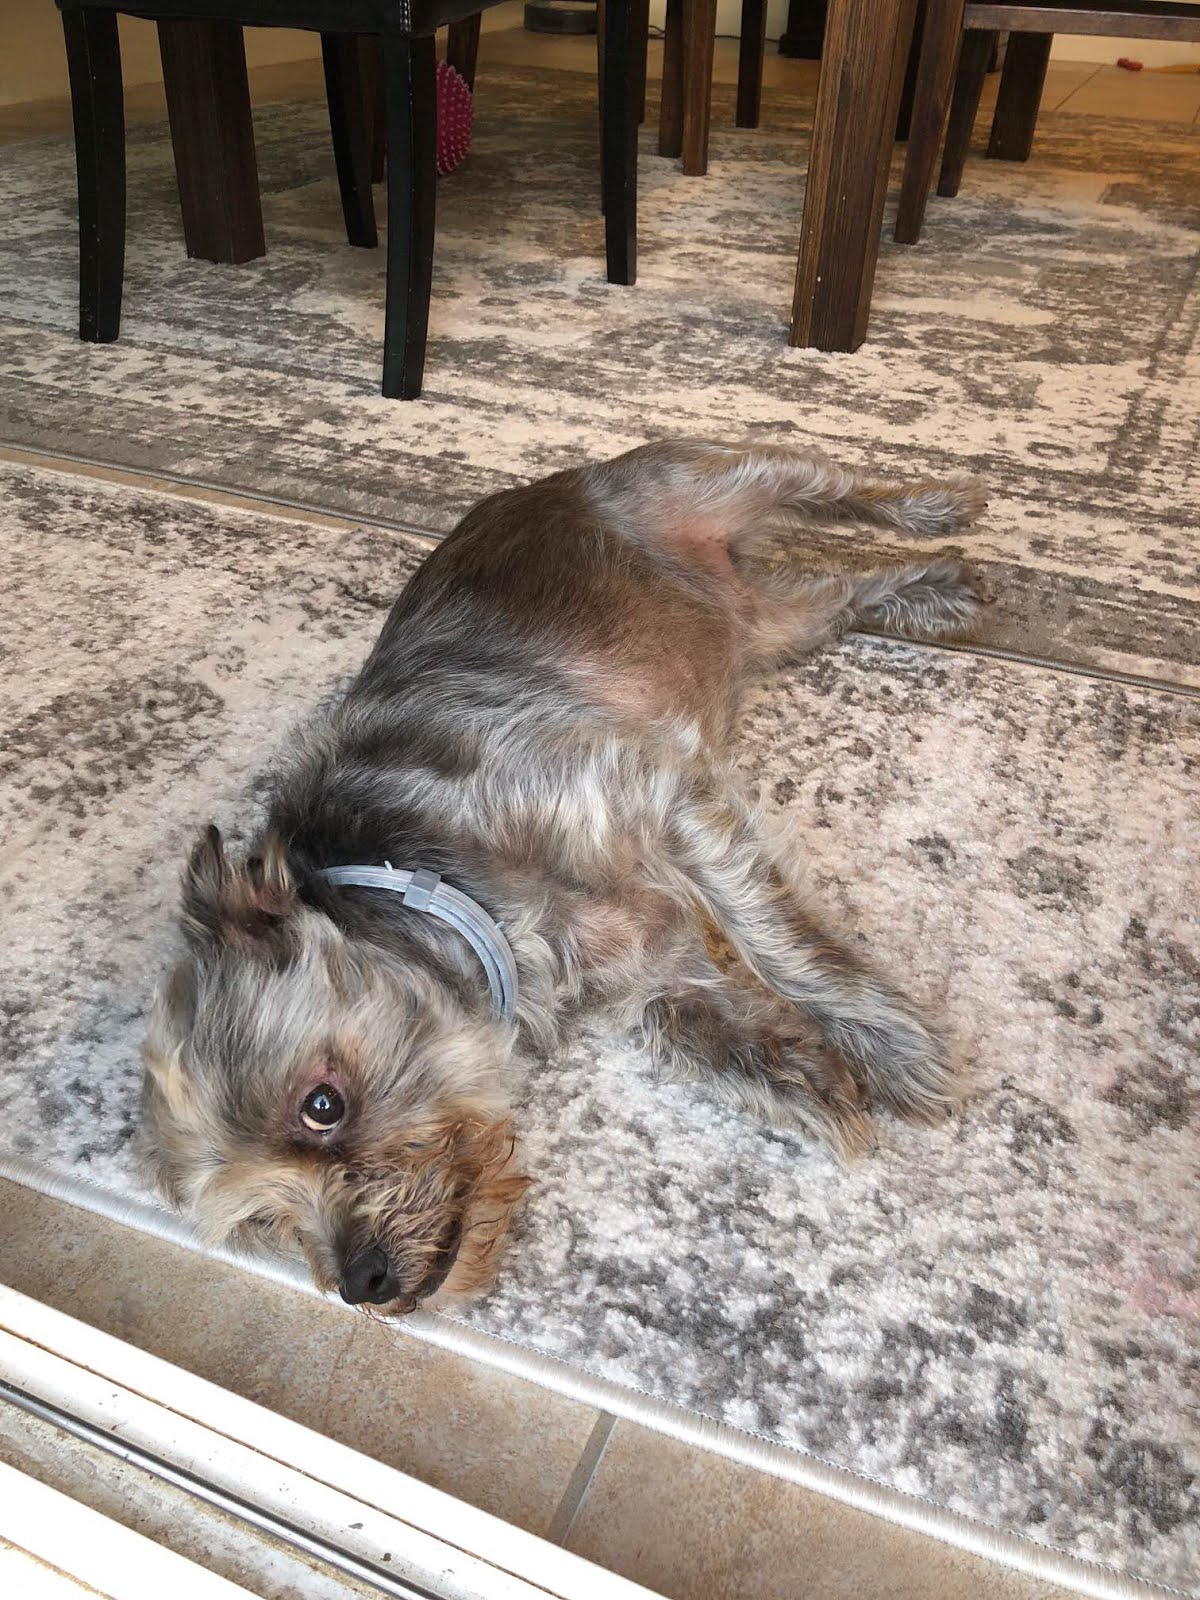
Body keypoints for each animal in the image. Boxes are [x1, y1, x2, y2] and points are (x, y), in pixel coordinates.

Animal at [143, 438, 985, 1312]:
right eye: (265, 1217)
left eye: (321, 1105)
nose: (361, 1282)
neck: (440, 886)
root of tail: (535, 485)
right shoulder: (650, 970)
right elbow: (697, 1029)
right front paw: (807, 1080)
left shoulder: (659, 796)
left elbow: (780, 945)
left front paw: (894, 1049)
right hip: (767, 625)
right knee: (839, 596)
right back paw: (929, 593)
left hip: (709, 479)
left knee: (832, 486)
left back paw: (936, 513)